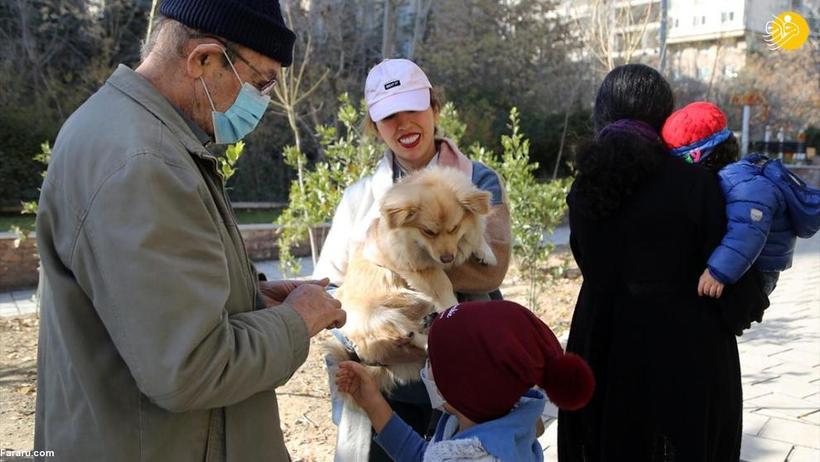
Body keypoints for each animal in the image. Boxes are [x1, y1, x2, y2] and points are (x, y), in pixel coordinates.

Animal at [326, 166, 494, 390]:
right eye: (428, 232)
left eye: (454, 228)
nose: (447, 258)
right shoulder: (418, 267)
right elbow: (443, 285)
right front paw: (452, 308)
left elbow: (476, 236)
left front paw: (486, 252)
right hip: (382, 317)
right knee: (417, 339)